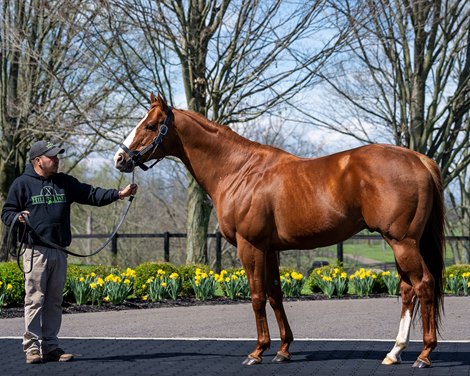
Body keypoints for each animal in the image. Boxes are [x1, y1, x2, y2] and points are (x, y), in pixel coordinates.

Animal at [114, 93, 444, 368]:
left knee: (424, 284)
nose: (120, 159)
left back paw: (424, 355)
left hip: (402, 242)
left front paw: (258, 351)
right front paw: (284, 350)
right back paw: (395, 352)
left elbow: (257, 295)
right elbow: (275, 294)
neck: (239, 171)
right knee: (408, 290)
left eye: (151, 125)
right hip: (400, 243)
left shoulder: (250, 246)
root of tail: (418, 159)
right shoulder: (270, 249)